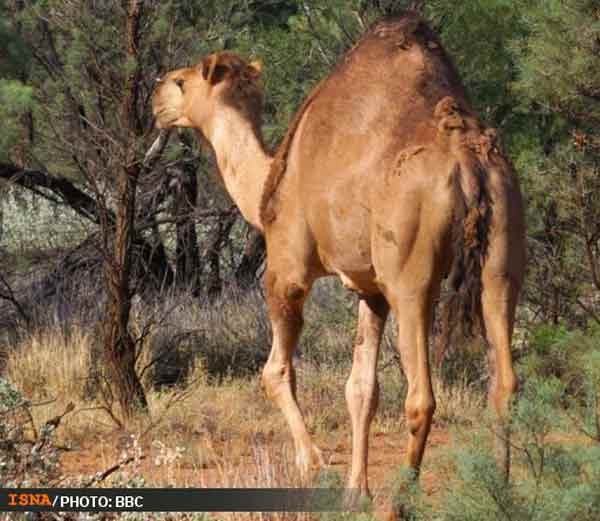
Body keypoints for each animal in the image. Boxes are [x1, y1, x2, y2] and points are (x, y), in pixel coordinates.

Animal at [152, 13, 526, 500]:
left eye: (182, 81)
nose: (156, 96)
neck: (267, 184)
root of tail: (469, 163)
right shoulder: (371, 288)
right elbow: (361, 388)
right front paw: (354, 491)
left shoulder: (287, 268)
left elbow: (274, 372)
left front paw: (311, 464)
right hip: (501, 256)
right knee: (505, 381)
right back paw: (500, 491)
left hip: (412, 277)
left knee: (421, 396)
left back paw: (399, 500)